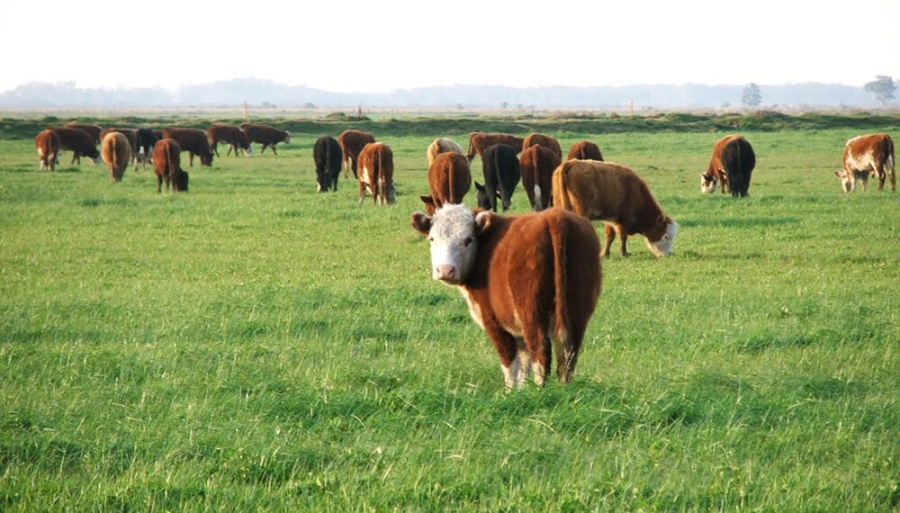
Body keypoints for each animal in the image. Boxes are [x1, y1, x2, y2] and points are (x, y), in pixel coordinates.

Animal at [410, 204, 602, 390]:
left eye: (468, 239)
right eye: (432, 239)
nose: (445, 270)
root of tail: (554, 216)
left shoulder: (492, 320)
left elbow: (509, 362)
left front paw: (509, 392)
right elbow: (524, 364)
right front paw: (521, 391)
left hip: (531, 312)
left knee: (540, 352)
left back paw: (540, 391)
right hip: (576, 312)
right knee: (568, 354)